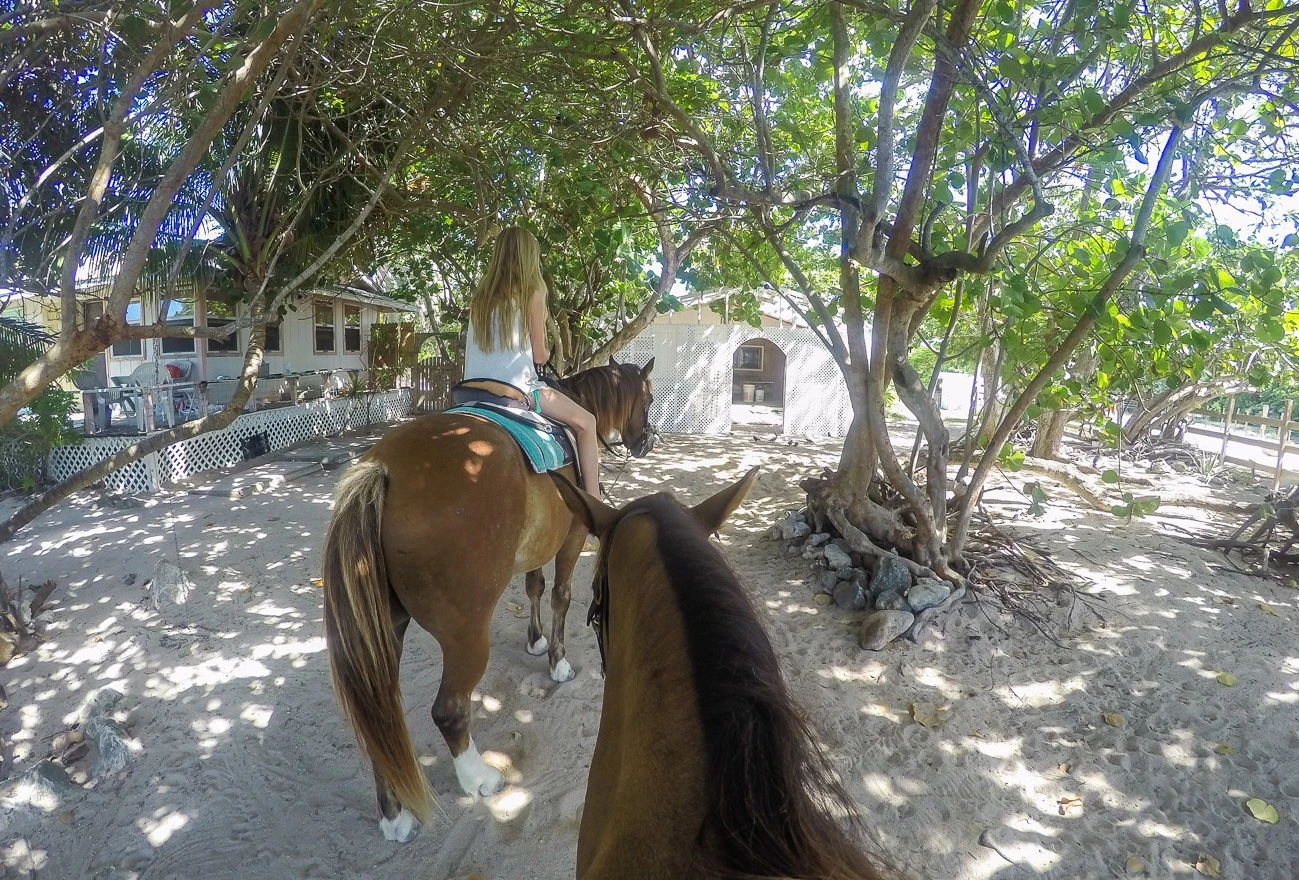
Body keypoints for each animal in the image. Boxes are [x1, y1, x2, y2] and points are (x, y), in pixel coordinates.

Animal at [322, 357, 655, 842]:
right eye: (647, 397)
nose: (647, 440)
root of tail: (384, 470)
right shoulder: (571, 538)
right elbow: (560, 596)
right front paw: (557, 662)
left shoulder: (539, 544)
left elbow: (534, 586)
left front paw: (535, 641)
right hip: (465, 636)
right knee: (449, 710)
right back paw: (478, 777)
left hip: (384, 629)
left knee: (380, 713)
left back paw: (394, 815)